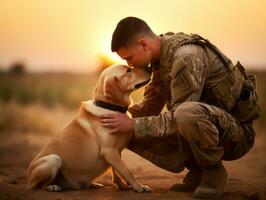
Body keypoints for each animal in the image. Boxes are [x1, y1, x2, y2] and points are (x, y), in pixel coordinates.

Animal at [27, 63, 152, 192]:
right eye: (128, 70)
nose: (149, 67)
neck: (108, 107)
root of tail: (28, 178)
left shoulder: (115, 152)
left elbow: (117, 172)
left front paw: (123, 186)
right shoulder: (109, 151)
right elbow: (126, 171)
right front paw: (139, 186)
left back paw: (93, 184)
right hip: (53, 159)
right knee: (38, 186)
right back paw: (52, 186)